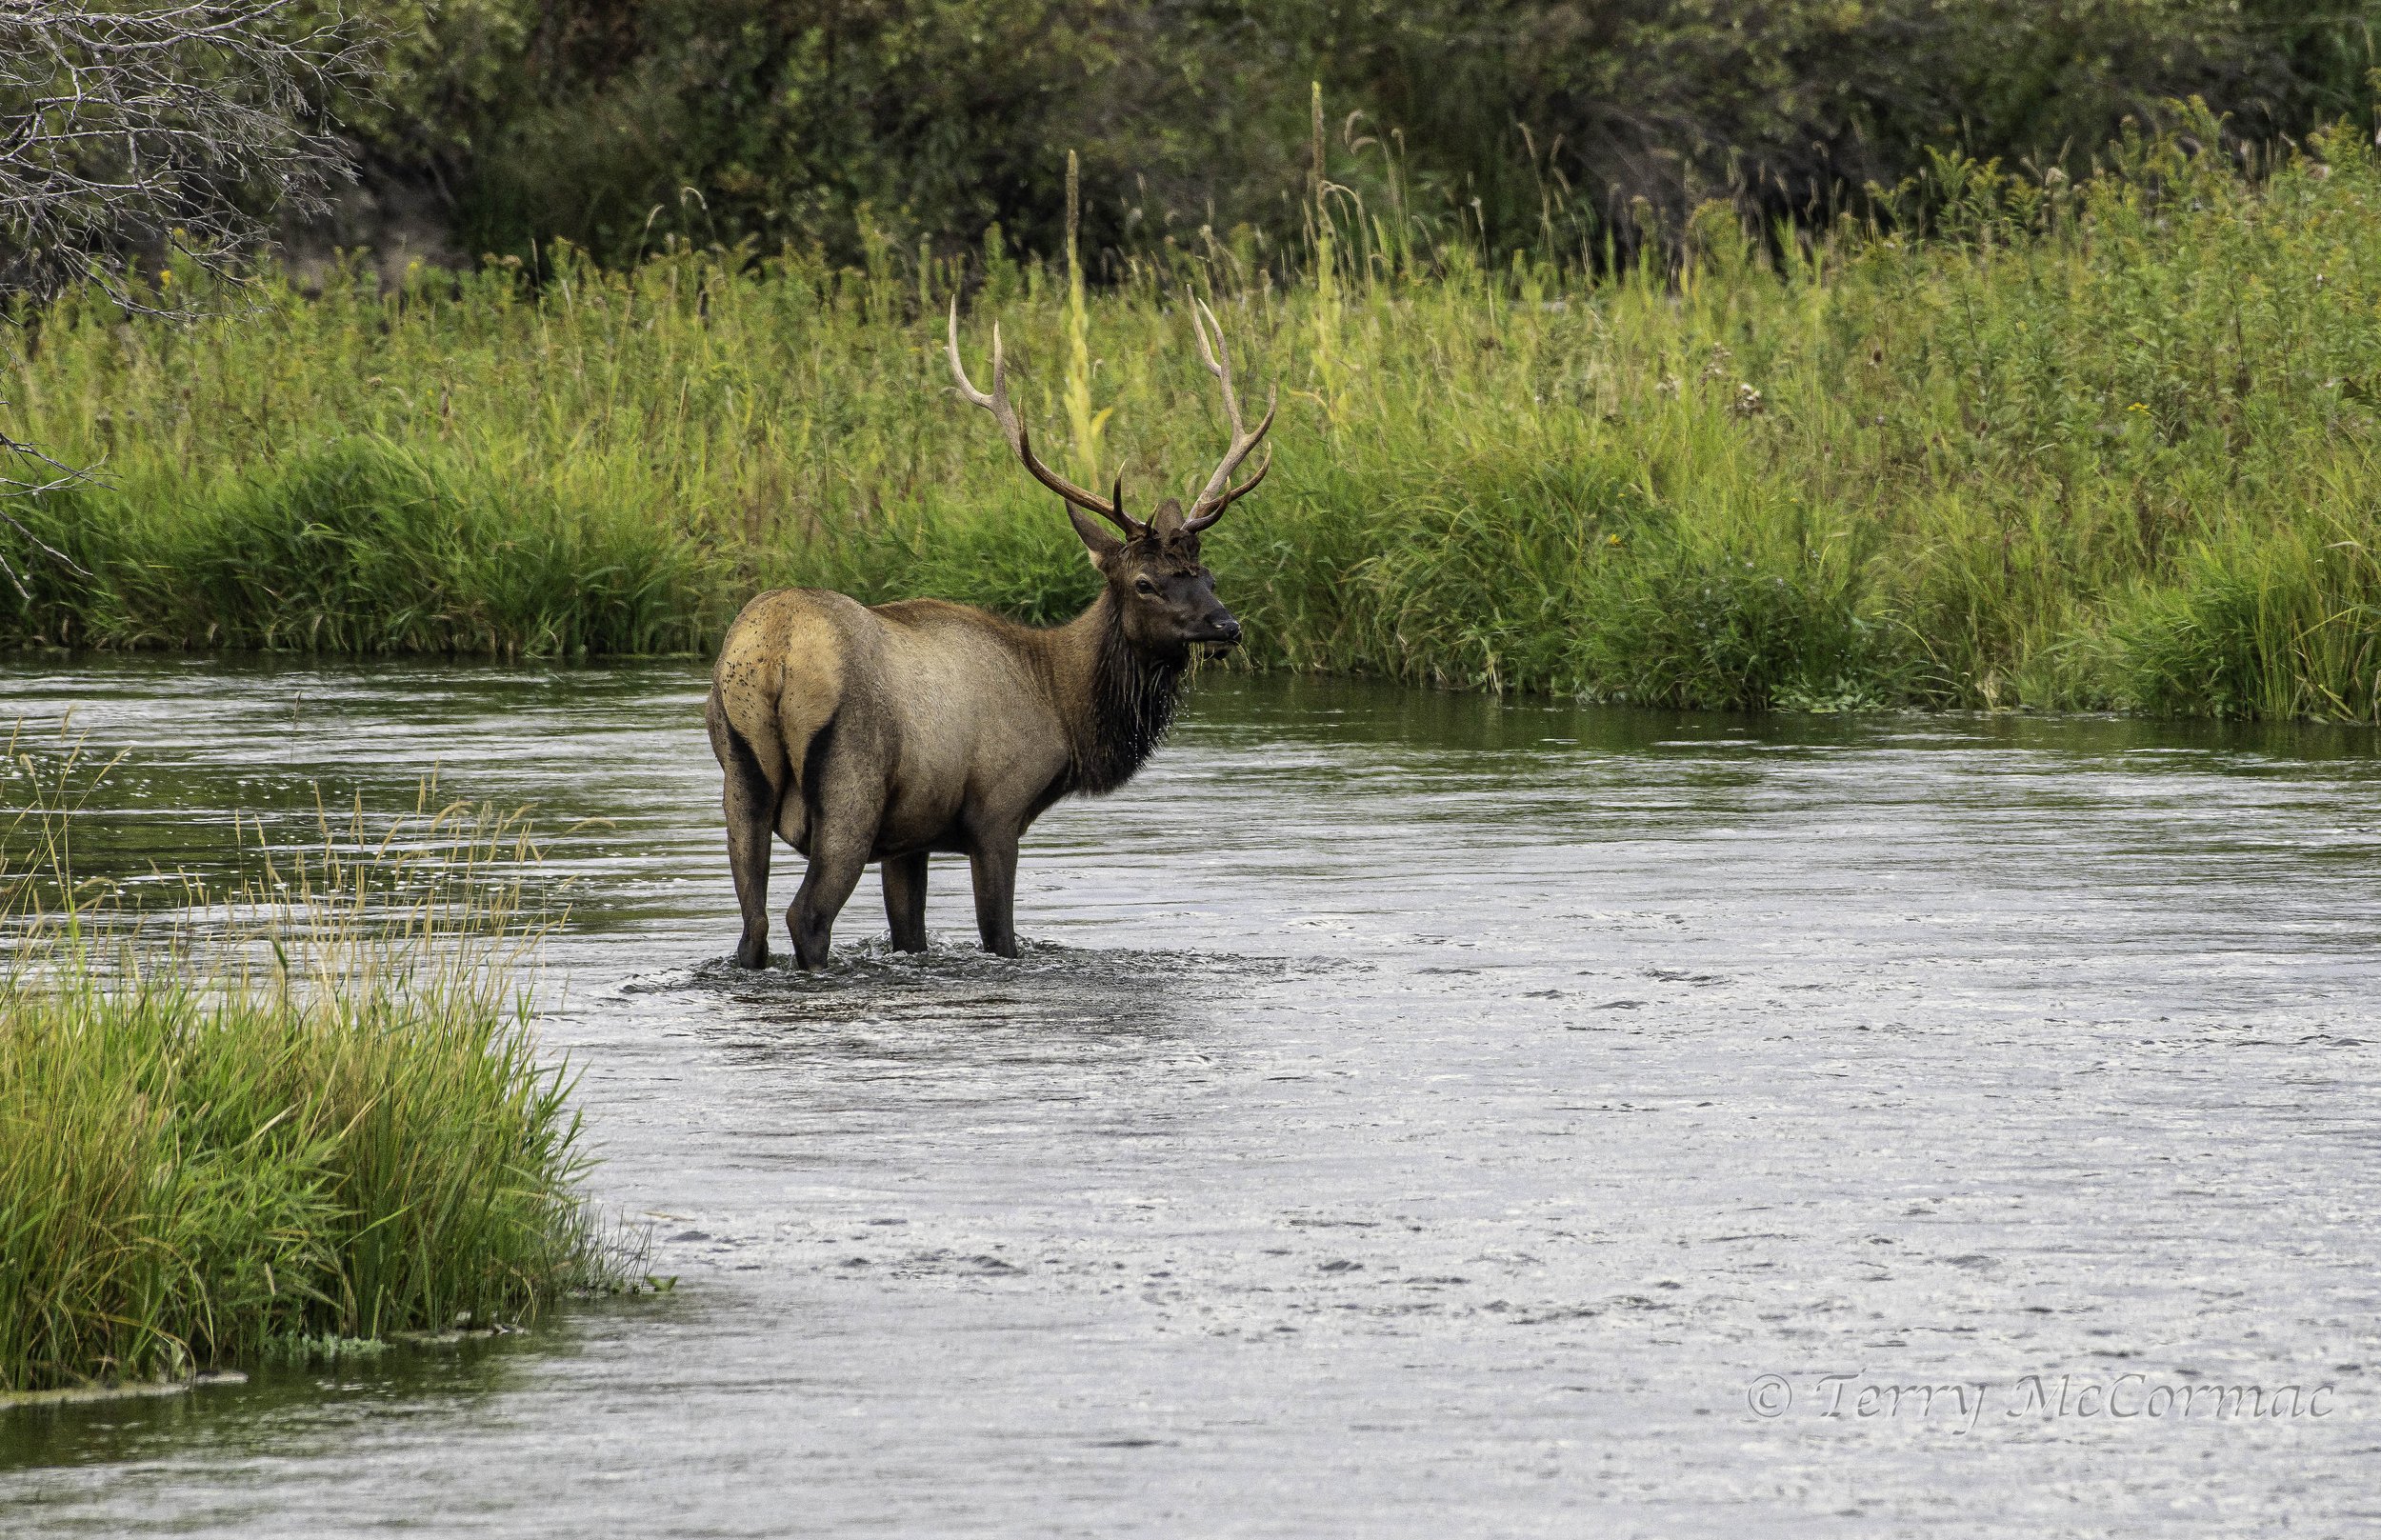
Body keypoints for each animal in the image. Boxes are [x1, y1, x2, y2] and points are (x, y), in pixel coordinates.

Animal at [705, 297, 1276, 969]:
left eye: (1207, 574)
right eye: (1145, 583)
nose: (1227, 625)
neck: (1062, 702)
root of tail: (774, 651)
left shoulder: (911, 836)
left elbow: (912, 935)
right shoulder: (997, 813)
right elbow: (1000, 937)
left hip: (739, 778)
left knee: (754, 926)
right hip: (852, 785)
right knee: (806, 916)